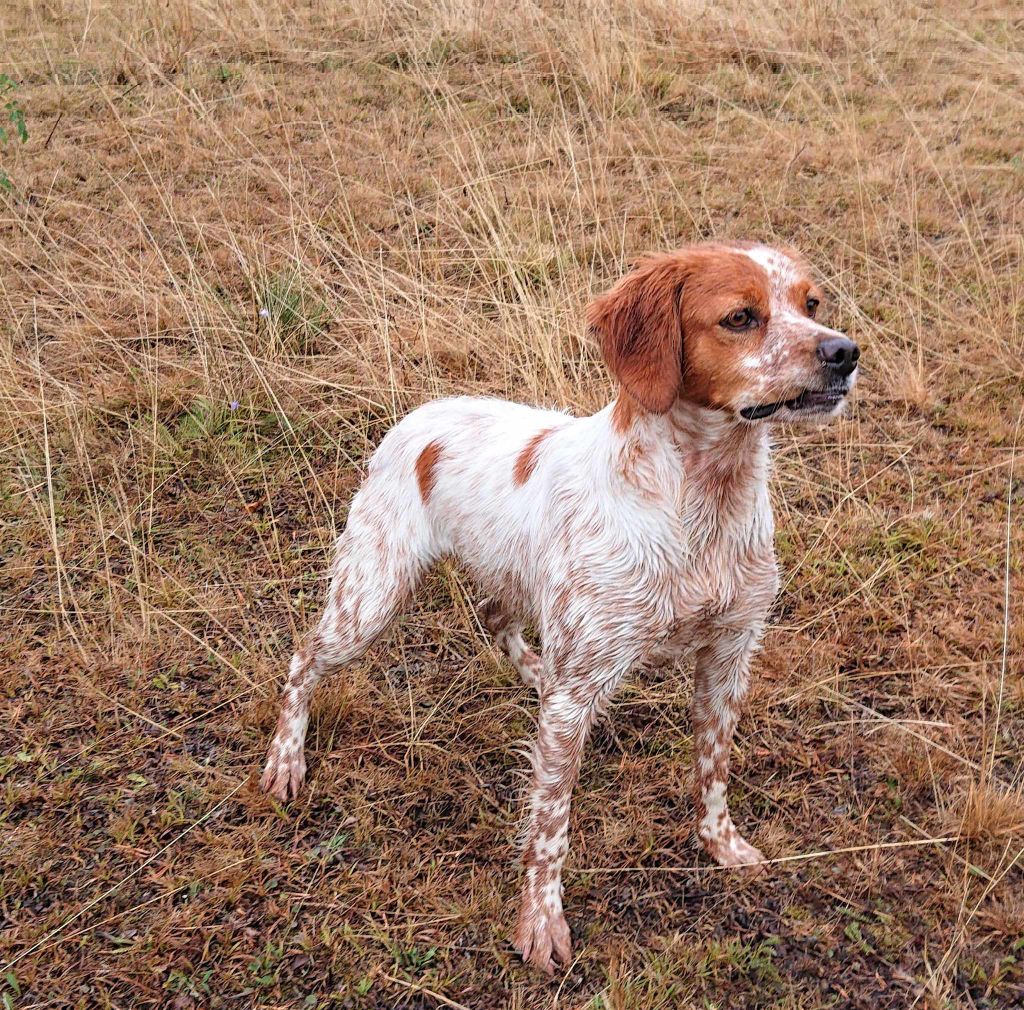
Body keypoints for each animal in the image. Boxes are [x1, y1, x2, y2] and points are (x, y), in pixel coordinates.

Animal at [260, 239, 860, 971]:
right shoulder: (578, 693)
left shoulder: (729, 658)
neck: (702, 497)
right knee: (303, 659)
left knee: (496, 619)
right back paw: (285, 760)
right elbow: (549, 825)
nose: (844, 352)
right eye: (741, 317)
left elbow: (713, 771)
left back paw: (532, 672)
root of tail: (419, 415)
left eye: (812, 304)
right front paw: (540, 922)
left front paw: (721, 845)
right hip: (371, 592)